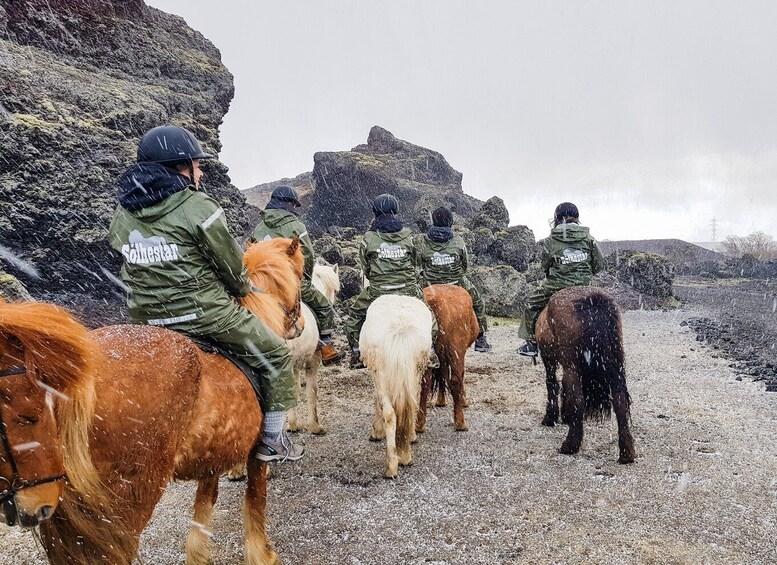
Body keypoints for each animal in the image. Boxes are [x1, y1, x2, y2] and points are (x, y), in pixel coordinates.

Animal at [0, 238, 304, 564]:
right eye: (302, 274)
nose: (299, 325)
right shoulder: (256, 456)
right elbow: (255, 498)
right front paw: (262, 553)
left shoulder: (213, 454)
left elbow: (205, 500)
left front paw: (199, 554)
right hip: (127, 501)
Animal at [360, 294, 434, 478]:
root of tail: (400, 325)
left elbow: (376, 402)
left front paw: (376, 432)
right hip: (415, 369)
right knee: (410, 406)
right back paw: (405, 454)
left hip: (380, 373)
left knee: (389, 412)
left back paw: (391, 465)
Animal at [418, 284, 478, 430]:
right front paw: (463, 400)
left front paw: (440, 400)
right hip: (456, 348)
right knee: (455, 379)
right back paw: (461, 422)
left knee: (425, 380)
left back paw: (419, 423)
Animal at [532, 286, 636, 462]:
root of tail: (594, 301)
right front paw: (566, 416)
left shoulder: (549, 359)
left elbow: (552, 384)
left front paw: (551, 418)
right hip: (614, 361)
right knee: (620, 400)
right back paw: (626, 453)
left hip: (571, 364)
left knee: (577, 398)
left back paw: (570, 445)